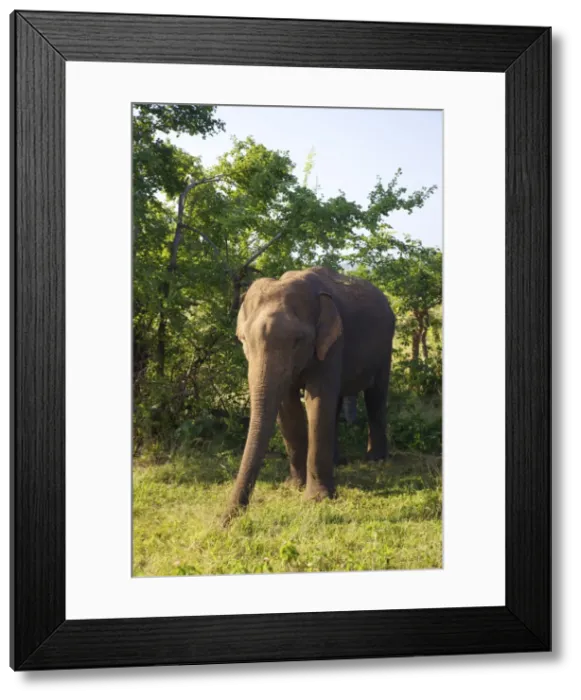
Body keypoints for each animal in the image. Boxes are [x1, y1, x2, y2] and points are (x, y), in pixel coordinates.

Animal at [223, 266, 396, 523]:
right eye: (243, 340)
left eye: (298, 340)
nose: (225, 521)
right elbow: (288, 406)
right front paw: (294, 486)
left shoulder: (333, 343)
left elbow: (319, 400)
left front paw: (317, 499)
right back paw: (337, 462)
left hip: (385, 349)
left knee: (376, 396)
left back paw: (375, 460)